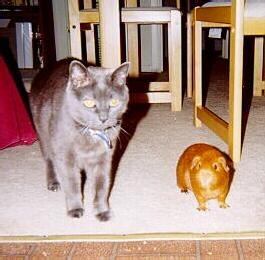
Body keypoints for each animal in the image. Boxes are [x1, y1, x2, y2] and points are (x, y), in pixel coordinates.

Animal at [29, 59, 129, 221]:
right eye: (89, 103)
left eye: (114, 102)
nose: (103, 118)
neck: (90, 135)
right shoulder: (65, 157)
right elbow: (72, 184)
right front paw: (75, 209)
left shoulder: (104, 159)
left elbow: (101, 186)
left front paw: (102, 212)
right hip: (43, 134)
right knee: (49, 159)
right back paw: (53, 182)